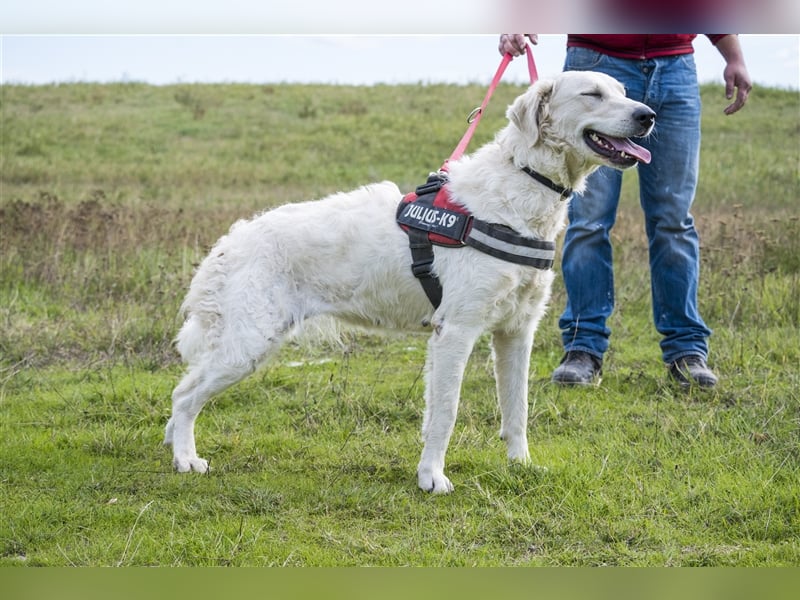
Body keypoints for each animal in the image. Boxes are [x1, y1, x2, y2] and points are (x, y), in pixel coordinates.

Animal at [164, 71, 656, 492]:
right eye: (592, 94)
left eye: (622, 90)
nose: (648, 115)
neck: (518, 194)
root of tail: (232, 239)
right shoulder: (455, 331)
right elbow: (446, 412)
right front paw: (431, 477)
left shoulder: (517, 331)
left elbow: (516, 409)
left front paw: (521, 465)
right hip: (246, 345)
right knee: (184, 395)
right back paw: (187, 458)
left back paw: (173, 447)